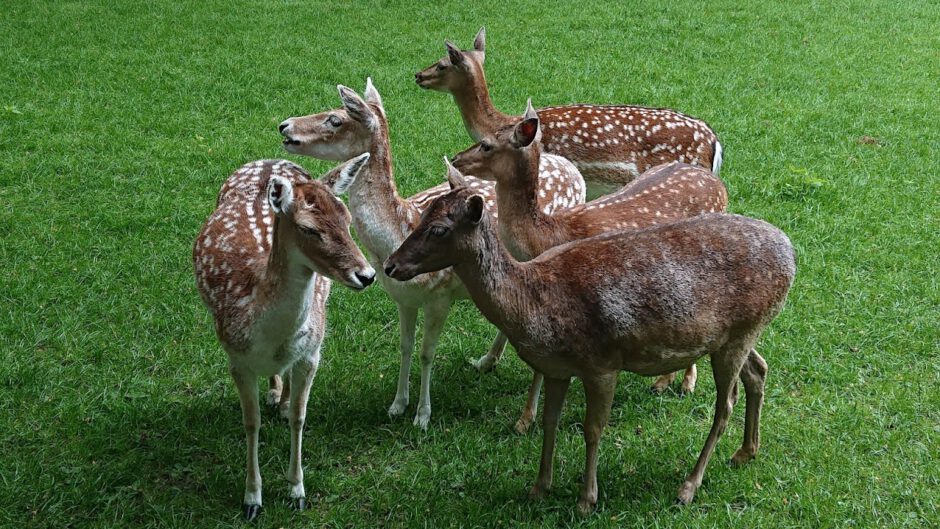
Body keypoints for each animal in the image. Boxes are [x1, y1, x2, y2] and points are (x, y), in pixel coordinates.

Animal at [193, 155, 376, 516]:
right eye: (309, 229)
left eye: (348, 219)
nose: (367, 275)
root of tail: (269, 160)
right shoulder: (236, 357)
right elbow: (251, 423)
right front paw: (252, 499)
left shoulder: (312, 353)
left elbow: (299, 418)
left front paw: (297, 491)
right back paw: (275, 392)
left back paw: (283, 397)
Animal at [278, 81, 588, 428]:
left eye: (335, 119)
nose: (284, 125)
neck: (396, 232)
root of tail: (574, 171)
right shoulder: (403, 299)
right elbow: (405, 347)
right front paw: (398, 404)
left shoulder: (440, 297)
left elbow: (427, 353)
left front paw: (422, 415)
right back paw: (486, 361)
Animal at [386, 183, 796, 512]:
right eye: (421, 215)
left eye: (439, 228)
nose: (390, 265)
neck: (534, 305)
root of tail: (792, 254)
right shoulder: (556, 368)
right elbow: (549, 421)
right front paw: (539, 487)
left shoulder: (602, 363)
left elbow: (592, 429)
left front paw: (587, 499)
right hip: (738, 333)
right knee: (759, 371)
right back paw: (746, 452)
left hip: (741, 332)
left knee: (725, 405)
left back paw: (688, 487)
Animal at [448, 100, 728, 434]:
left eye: (487, 144)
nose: (456, 158)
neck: (545, 235)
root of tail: (720, 185)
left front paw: (525, 421)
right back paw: (664, 382)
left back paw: (686, 384)